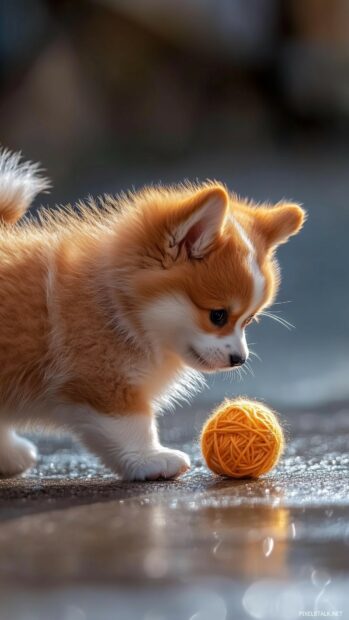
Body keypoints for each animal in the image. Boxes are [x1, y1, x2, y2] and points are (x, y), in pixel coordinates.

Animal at [0, 149, 304, 480]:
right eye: (218, 316)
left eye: (248, 320)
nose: (240, 359)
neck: (119, 306)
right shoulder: (102, 380)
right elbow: (131, 426)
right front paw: (151, 459)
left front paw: (9, 455)